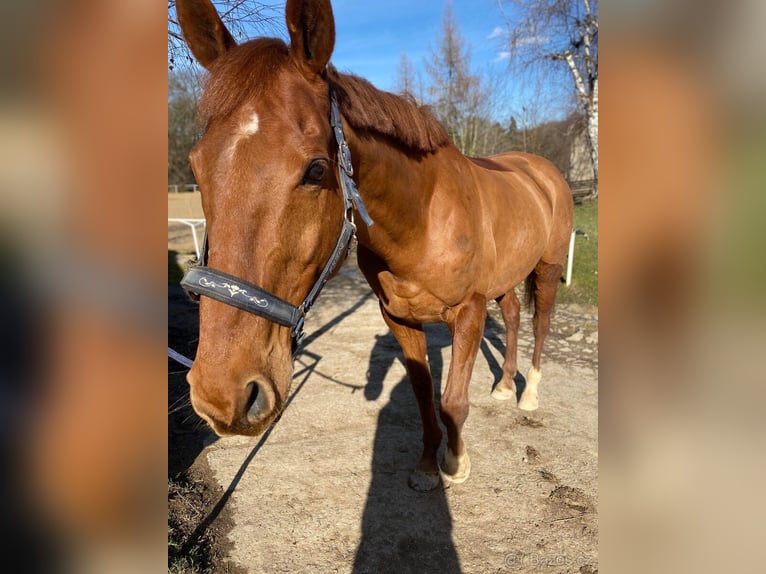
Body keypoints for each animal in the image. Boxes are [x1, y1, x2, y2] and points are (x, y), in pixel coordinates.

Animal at [177, 1, 572, 496]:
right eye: (196, 165)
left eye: (316, 169)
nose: (221, 395)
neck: (423, 219)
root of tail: (542, 170)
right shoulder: (399, 317)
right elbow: (422, 394)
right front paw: (426, 466)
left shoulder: (469, 310)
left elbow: (452, 400)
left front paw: (455, 464)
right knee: (516, 315)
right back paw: (502, 387)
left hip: (547, 267)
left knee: (540, 322)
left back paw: (529, 394)